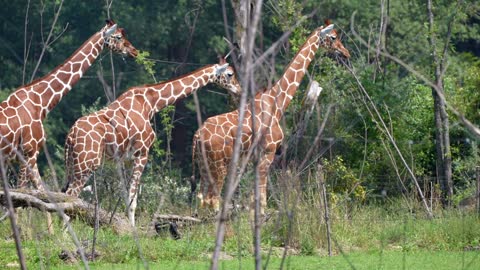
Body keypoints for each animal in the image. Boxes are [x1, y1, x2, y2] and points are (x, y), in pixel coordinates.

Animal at [63, 59, 242, 226]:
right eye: (230, 74)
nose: (239, 90)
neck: (151, 103)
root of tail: (71, 135)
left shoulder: (126, 160)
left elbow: (126, 196)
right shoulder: (142, 153)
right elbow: (132, 200)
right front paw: (132, 230)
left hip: (72, 165)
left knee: (63, 194)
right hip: (86, 165)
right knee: (70, 196)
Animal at [190, 22, 348, 214]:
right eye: (333, 37)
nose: (345, 53)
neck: (277, 102)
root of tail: (198, 135)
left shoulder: (254, 159)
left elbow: (253, 198)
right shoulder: (268, 152)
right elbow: (261, 199)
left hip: (204, 164)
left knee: (201, 198)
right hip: (218, 165)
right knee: (212, 199)